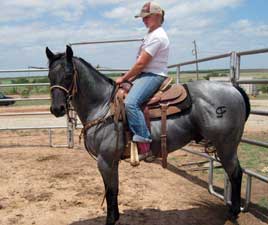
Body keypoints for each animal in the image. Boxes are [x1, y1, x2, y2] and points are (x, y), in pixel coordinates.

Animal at [46, 46, 251, 225]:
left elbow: (110, 191)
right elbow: (115, 189)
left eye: (68, 74)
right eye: (49, 76)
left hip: (226, 146)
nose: (57, 109)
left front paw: (110, 220)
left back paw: (233, 212)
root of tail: (233, 89)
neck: (104, 106)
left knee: (236, 173)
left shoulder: (105, 161)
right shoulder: (112, 162)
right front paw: (117, 216)